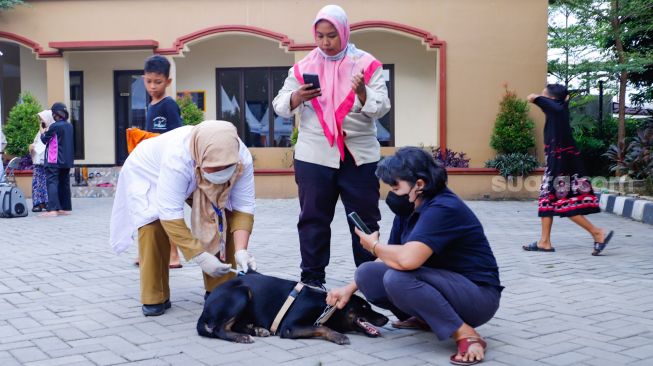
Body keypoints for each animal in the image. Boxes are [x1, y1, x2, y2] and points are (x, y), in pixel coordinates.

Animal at [197, 272, 388, 344]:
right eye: (364, 307)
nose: (386, 318)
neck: (325, 308)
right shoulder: (290, 327)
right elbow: (322, 328)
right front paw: (337, 335)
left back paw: (257, 330)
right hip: (242, 293)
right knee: (218, 329)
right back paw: (241, 337)